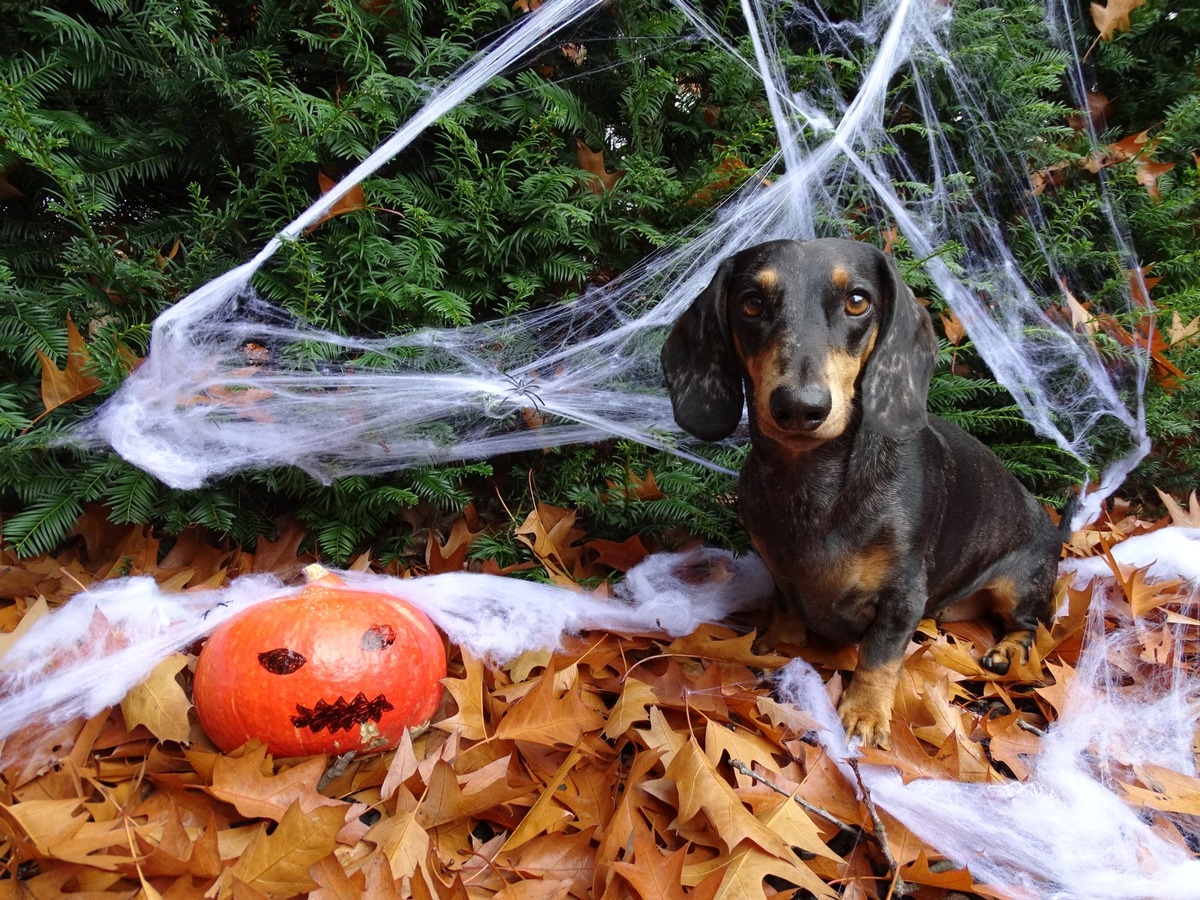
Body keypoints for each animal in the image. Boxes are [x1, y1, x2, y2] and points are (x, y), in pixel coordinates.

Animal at [662, 237, 1065, 748]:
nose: (800, 407)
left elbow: (880, 655)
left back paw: (1006, 651)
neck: (812, 486)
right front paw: (777, 648)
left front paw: (865, 714)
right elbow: (786, 610)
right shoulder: (781, 574)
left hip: (1019, 583)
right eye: (750, 303)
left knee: (1028, 623)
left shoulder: (904, 596)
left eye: (857, 301)